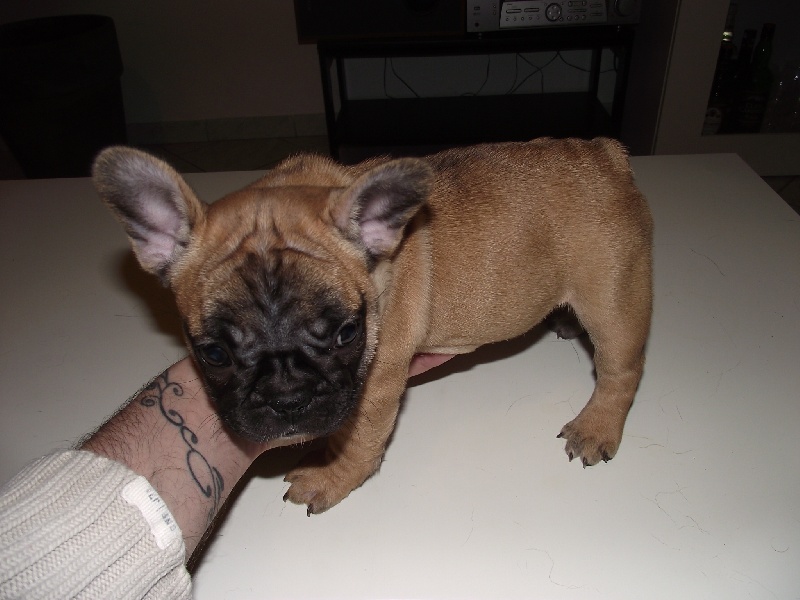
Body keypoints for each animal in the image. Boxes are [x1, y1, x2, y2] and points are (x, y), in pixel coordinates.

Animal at [93, 137, 653, 515]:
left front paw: (331, 476)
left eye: (346, 333)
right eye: (213, 353)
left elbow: (360, 436)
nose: (287, 398)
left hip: (612, 293)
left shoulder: (378, 378)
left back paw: (596, 426)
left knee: (620, 369)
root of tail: (604, 153)